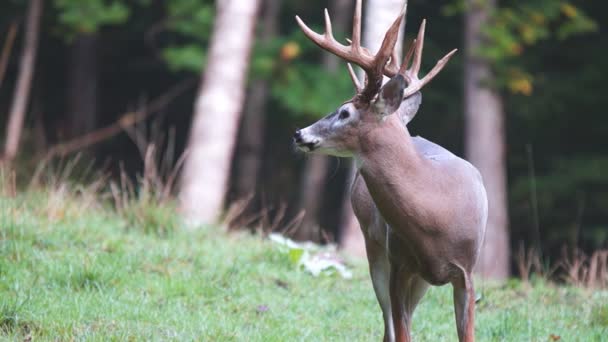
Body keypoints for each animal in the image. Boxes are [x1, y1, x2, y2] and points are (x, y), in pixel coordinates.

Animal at [292, 1, 486, 340]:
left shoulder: (467, 273)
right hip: (374, 247)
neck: (437, 216)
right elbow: (400, 331)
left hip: (420, 279)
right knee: (388, 326)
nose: (299, 133)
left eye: (345, 112)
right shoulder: (399, 265)